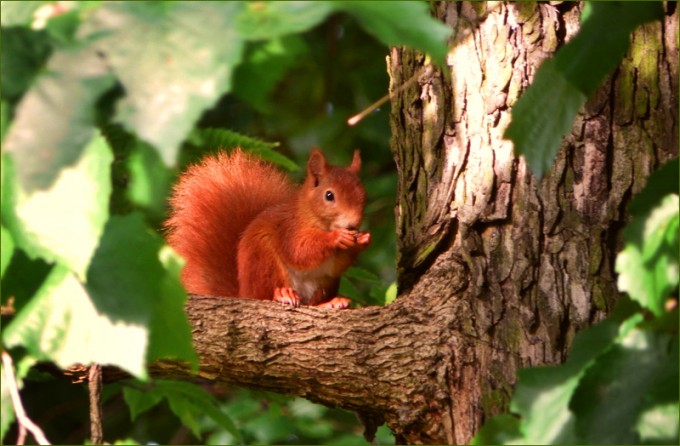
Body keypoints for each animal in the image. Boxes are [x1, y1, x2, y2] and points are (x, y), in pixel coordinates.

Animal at [164, 148, 371, 309]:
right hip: (264, 261)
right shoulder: (289, 228)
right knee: (266, 295)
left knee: (311, 304)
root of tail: (244, 293)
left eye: (364, 196)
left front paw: (363, 239)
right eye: (329, 195)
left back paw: (330, 303)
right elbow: (299, 251)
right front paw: (337, 237)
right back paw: (283, 294)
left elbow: (336, 266)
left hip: (325, 285)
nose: (353, 224)